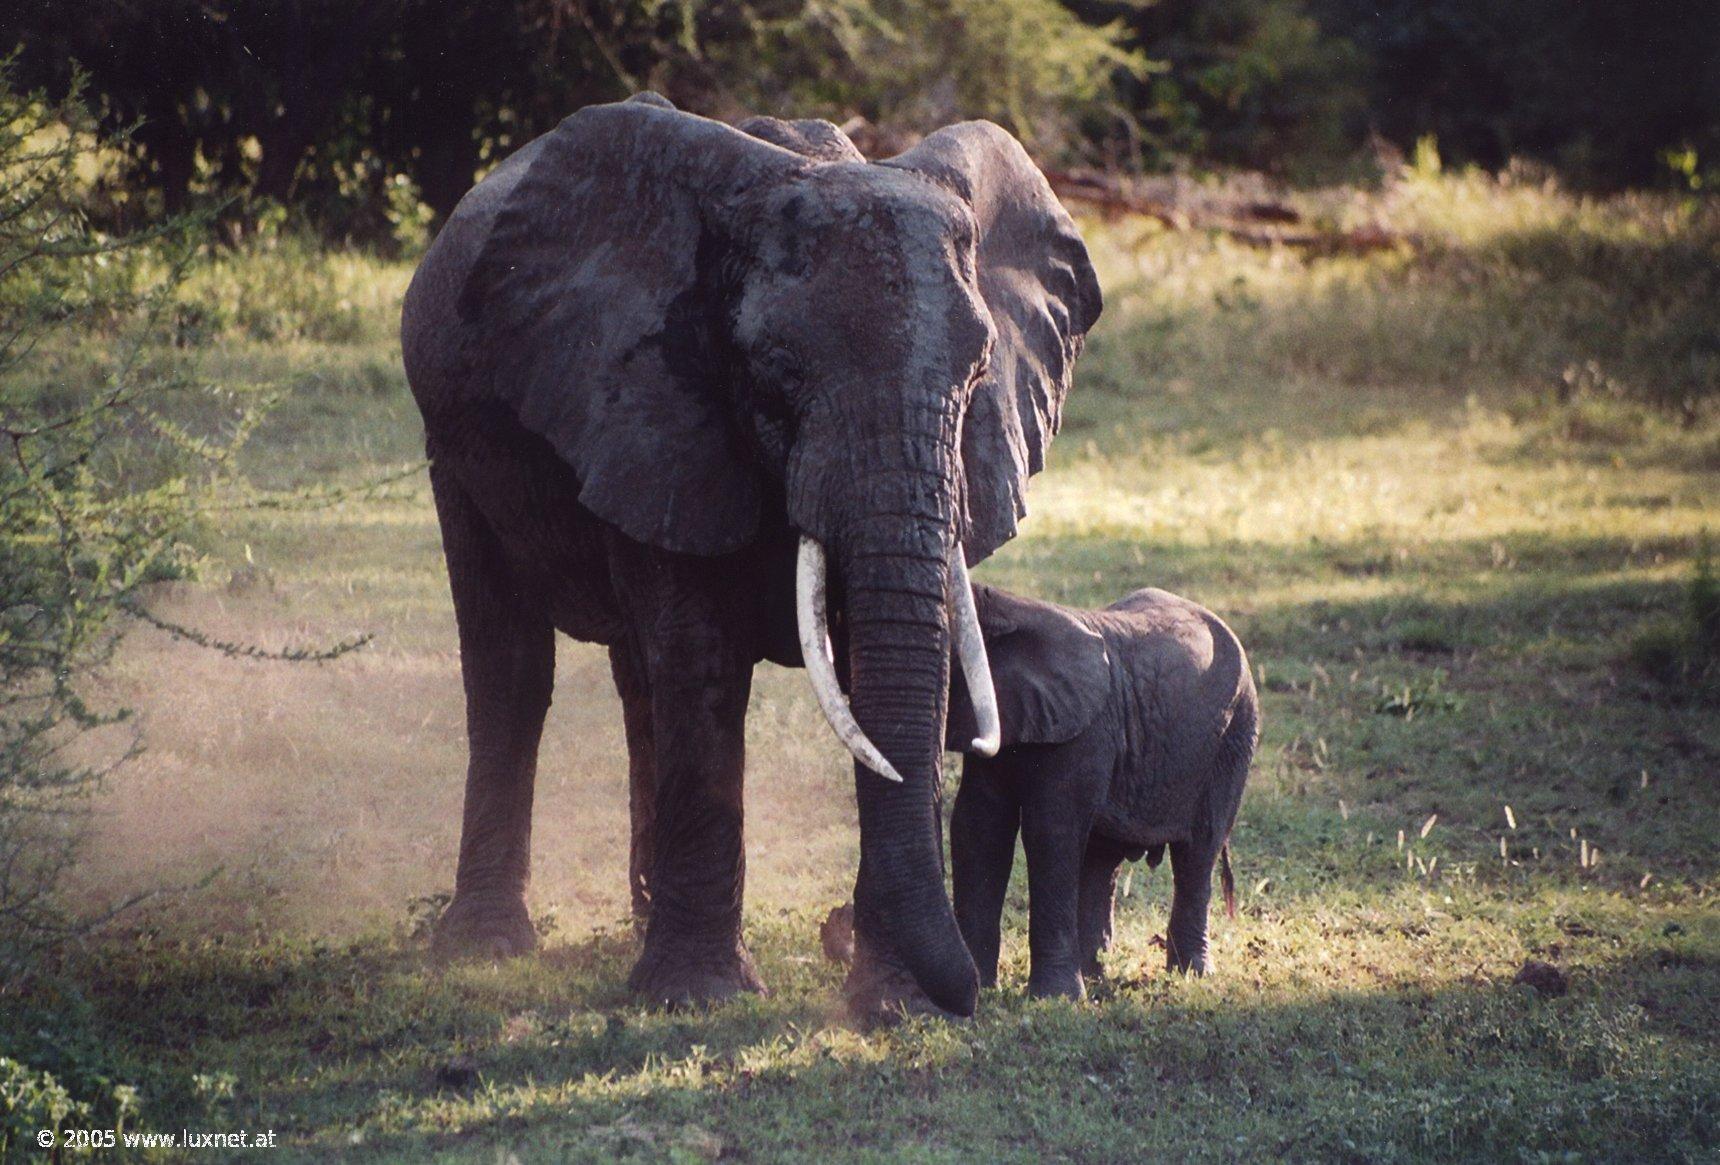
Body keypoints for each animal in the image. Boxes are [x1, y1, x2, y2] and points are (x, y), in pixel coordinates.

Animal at [400, 93, 1100, 1018]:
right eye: (776, 371)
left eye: (980, 370)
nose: (969, 993)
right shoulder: (655, 405)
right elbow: (702, 662)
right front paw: (699, 998)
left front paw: (893, 1004)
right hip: (454, 445)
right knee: (511, 667)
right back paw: (485, 948)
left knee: (635, 682)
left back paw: (636, 923)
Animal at [949, 585, 1259, 998]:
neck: (1005, 606)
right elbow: (979, 826)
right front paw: (979, 991)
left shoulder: (1084, 732)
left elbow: (1052, 831)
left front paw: (1055, 999)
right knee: (1102, 856)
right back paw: (1095, 977)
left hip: (1233, 735)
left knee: (1197, 850)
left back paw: (1191, 975)